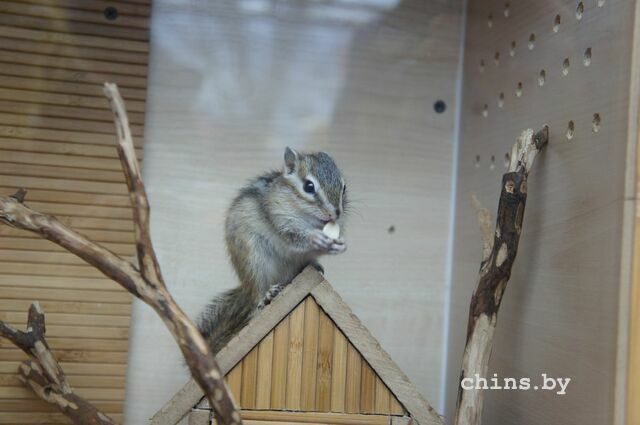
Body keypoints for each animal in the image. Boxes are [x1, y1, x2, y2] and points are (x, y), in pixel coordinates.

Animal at [197, 147, 348, 354]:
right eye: (309, 186)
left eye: (344, 187)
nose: (336, 213)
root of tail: (246, 288)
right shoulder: (280, 218)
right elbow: (293, 236)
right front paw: (314, 238)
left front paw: (339, 245)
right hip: (253, 261)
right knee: (257, 296)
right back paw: (266, 296)